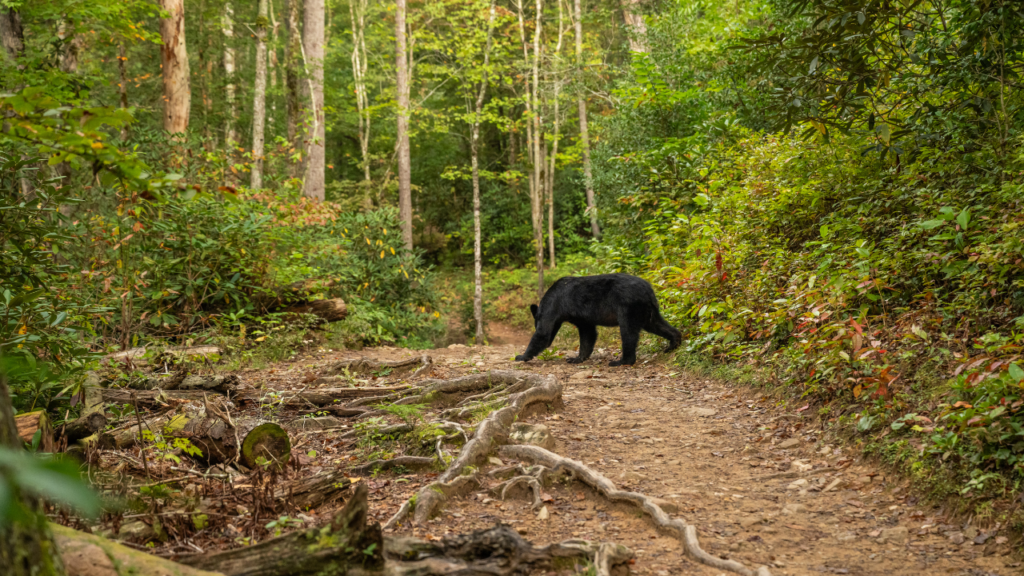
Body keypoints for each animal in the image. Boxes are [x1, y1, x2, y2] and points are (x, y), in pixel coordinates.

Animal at [514, 273, 681, 366]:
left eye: (535, 324)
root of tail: (648, 289)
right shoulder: (582, 317)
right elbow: (588, 334)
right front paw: (577, 358)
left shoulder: (554, 307)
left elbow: (543, 334)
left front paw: (521, 356)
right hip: (647, 310)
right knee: (657, 324)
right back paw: (673, 343)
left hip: (628, 306)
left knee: (628, 332)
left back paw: (621, 361)